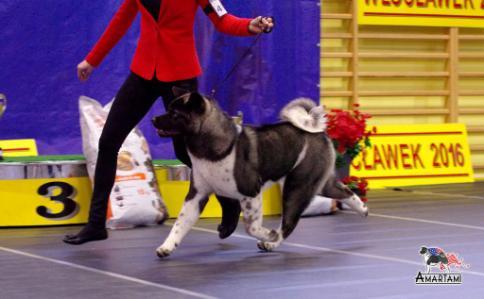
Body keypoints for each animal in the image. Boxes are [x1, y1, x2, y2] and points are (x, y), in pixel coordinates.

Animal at [151, 91, 366, 258]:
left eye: (175, 113)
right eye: (169, 109)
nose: (153, 119)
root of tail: (314, 129)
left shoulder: (250, 193)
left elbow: (251, 227)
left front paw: (269, 235)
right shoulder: (196, 196)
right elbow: (180, 224)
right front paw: (166, 247)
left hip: (297, 188)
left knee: (289, 223)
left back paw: (271, 242)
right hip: (315, 182)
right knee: (343, 191)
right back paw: (362, 209)